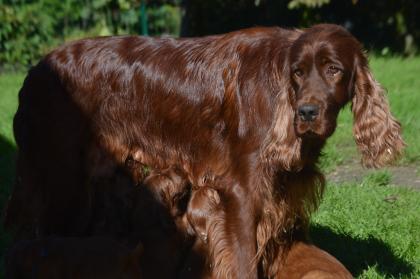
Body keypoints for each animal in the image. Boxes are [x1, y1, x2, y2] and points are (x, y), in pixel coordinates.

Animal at [3, 23, 404, 278]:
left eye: (334, 69)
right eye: (298, 72)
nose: (306, 112)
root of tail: (34, 71)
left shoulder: (287, 190)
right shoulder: (241, 193)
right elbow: (243, 262)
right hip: (60, 180)